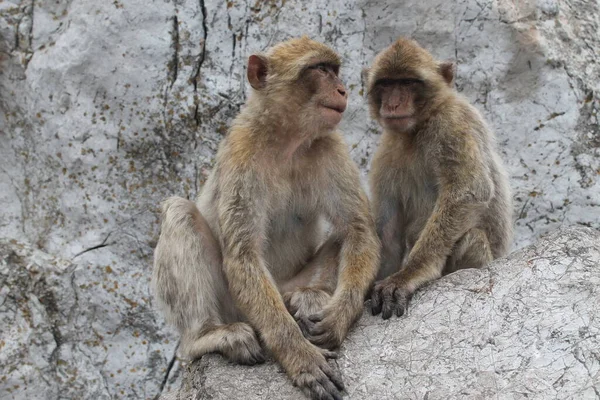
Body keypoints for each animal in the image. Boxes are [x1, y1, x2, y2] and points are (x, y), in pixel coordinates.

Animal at [154, 37, 380, 400]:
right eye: (320, 69)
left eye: (334, 69)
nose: (343, 90)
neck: (286, 139)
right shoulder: (241, 156)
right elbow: (243, 254)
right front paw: (299, 356)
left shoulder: (331, 146)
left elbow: (358, 230)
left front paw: (339, 315)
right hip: (233, 304)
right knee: (179, 213)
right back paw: (207, 334)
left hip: (287, 284)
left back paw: (308, 297)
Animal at [364, 37, 512, 318]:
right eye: (386, 84)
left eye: (407, 82)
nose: (393, 104)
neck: (417, 129)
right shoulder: (387, 152)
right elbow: (388, 228)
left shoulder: (451, 125)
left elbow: (470, 190)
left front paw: (410, 274)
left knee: (472, 238)